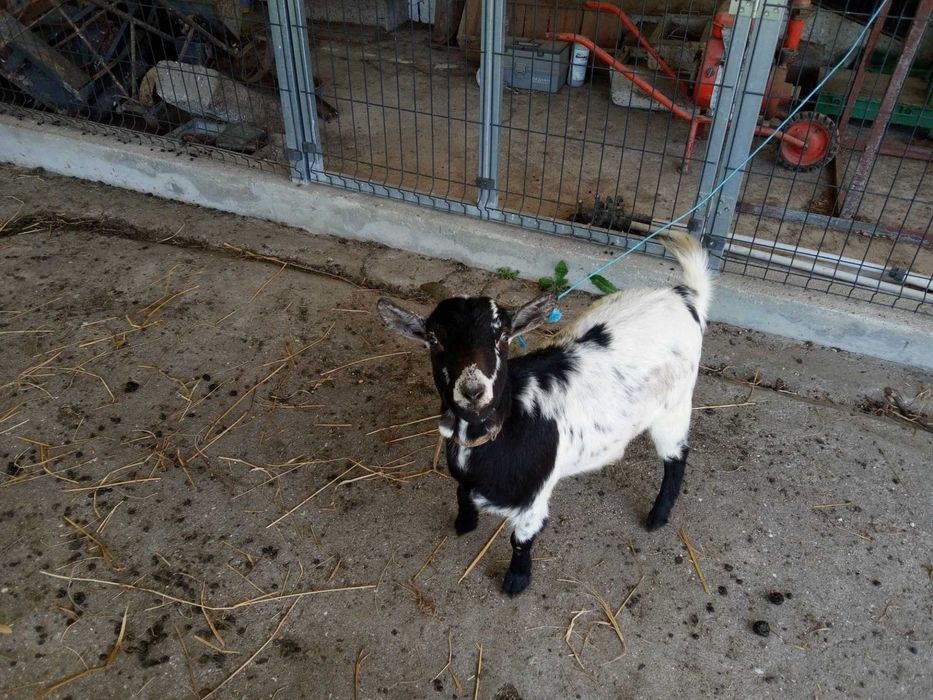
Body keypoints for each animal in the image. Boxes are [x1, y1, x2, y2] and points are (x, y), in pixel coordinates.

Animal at [377, 232, 711, 595]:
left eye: (503, 336)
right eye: (434, 340)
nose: (473, 391)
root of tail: (683, 295)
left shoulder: (533, 500)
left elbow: (521, 539)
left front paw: (516, 580)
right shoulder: (467, 478)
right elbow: (461, 493)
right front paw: (465, 522)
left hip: (674, 406)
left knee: (676, 457)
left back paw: (658, 516)